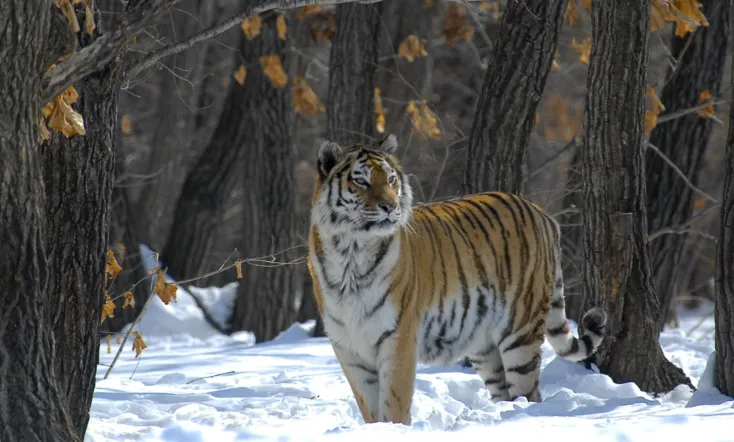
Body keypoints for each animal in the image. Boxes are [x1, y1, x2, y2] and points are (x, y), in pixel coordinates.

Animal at [306, 134, 607, 426]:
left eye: (391, 179)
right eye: (361, 181)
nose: (390, 206)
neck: (351, 253)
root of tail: (542, 213)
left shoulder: (398, 338)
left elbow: (394, 404)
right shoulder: (349, 349)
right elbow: (370, 409)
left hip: (521, 331)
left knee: (529, 392)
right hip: (484, 345)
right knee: (504, 391)